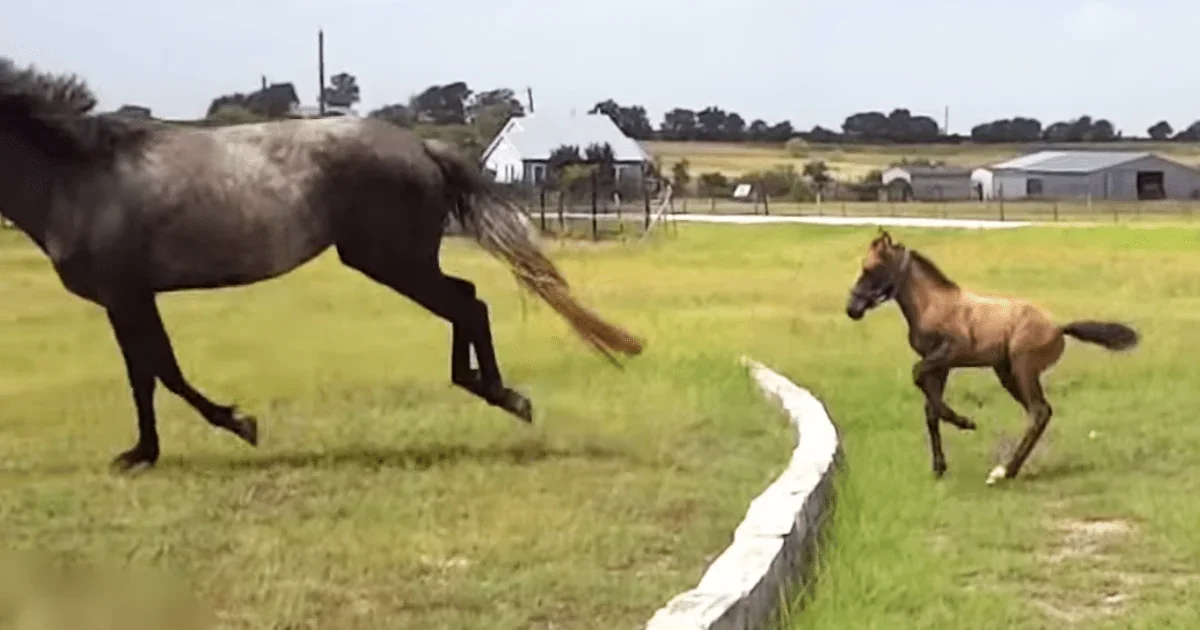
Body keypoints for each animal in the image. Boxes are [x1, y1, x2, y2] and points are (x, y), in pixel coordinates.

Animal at [0, 58, 644, 472]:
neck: (81, 177)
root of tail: (420, 146)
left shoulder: (127, 293)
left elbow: (158, 372)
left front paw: (229, 427)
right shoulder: (132, 297)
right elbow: (152, 371)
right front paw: (148, 450)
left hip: (391, 261)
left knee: (468, 302)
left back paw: (504, 395)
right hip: (397, 260)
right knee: (466, 298)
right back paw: (488, 388)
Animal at [844, 230, 1138, 485]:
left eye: (870, 268)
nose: (852, 308)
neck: (932, 304)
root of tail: (1058, 328)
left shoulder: (950, 352)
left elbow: (918, 375)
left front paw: (966, 423)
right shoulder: (940, 365)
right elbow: (930, 409)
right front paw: (940, 465)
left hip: (1023, 368)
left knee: (1039, 411)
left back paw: (1007, 471)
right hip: (1006, 373)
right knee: (1039, 412)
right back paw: (1009, 469)